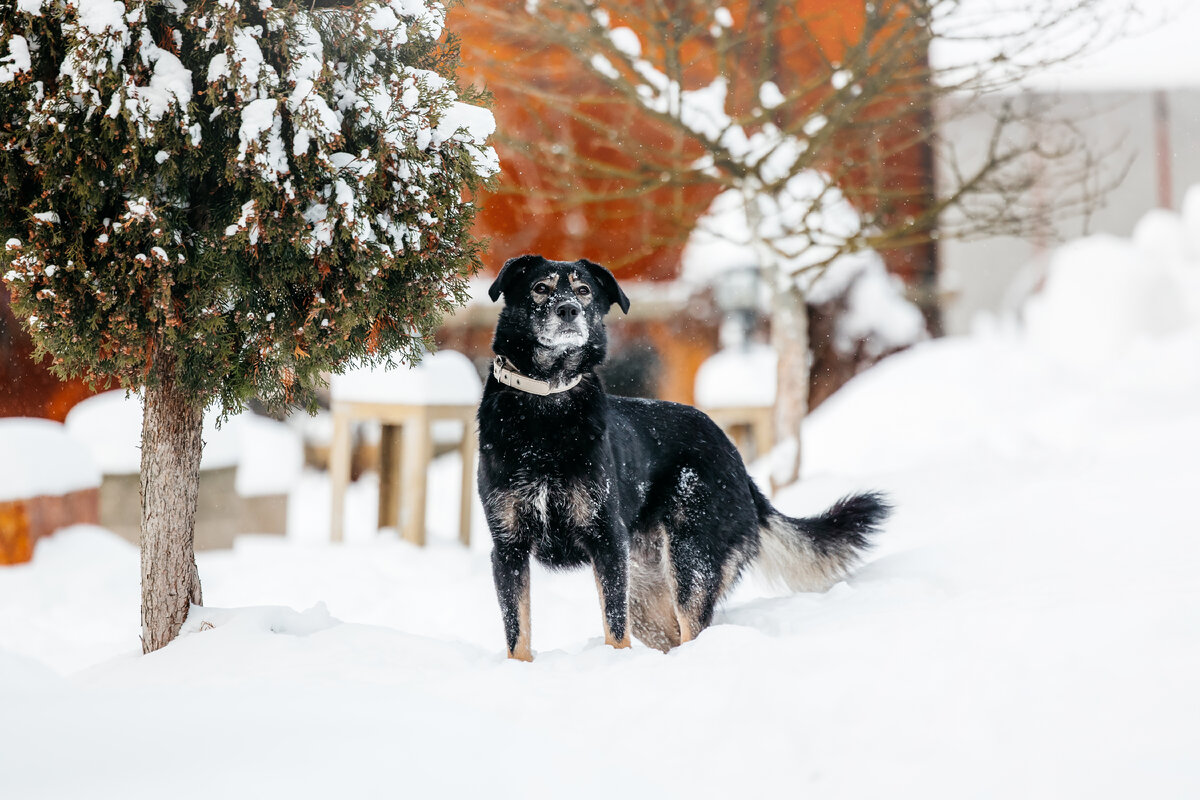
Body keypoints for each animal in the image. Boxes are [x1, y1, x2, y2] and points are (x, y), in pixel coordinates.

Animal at [472, 253, 888, 662]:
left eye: (583, 290)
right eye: (540, 288)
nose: (569, 310)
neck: (546, 403)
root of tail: (737, 462)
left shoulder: (606, 543)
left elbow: (614, 629)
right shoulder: (508, 549)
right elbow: (517, 633)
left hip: (689, 558)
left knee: (691, 629)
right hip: (645, 588)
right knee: (672, 634)